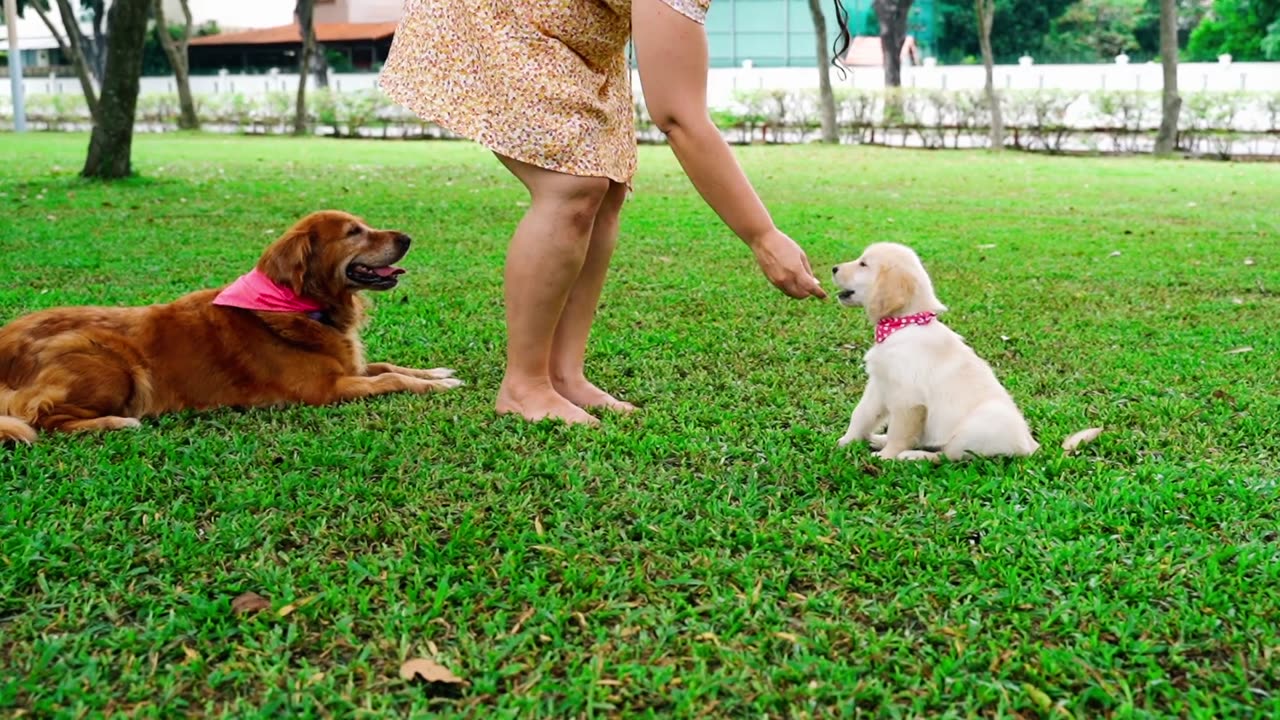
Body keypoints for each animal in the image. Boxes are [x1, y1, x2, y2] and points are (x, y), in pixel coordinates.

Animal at [0, 208, 460, 443]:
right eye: (353, 232)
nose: (407, 238)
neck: (300, 306)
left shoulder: (352, 367)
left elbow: (390, 366)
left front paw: (437, 373)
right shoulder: (327, 389)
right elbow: (391, 380)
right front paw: (435, 386)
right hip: (110, 362)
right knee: (44, 418)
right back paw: (114, 423)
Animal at [834, 240, 1034, 458]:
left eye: (863, 264)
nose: (834, 268)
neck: (903, 324)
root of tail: (1031, 446)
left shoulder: (908, 399)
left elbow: (899, 433)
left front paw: (887, 456)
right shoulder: (879, 385)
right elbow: (862, 414)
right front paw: (846, 441)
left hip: (975, 428)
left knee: (945, 455)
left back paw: (911, 456)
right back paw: (879, 439)